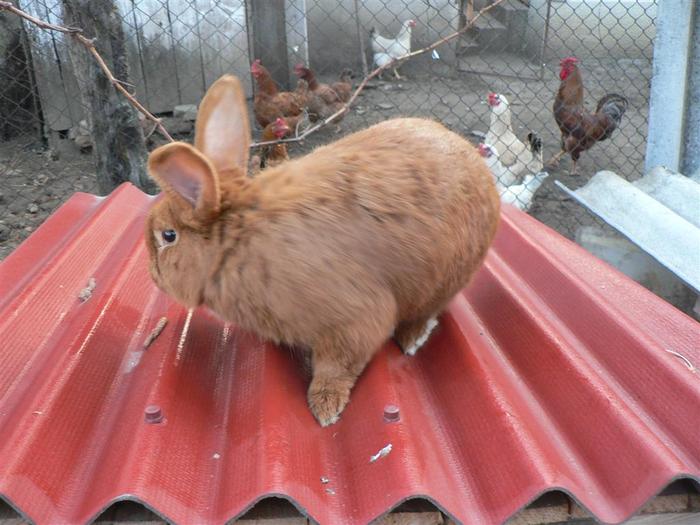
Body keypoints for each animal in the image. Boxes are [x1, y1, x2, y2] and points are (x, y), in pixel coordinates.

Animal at [145, 74, 500, 426]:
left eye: (168, 236)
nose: (152, 276)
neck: (237, 241)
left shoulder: (354, 320)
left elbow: (338, 366)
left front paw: (325, 407)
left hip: (444, 279)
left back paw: (413, 339)